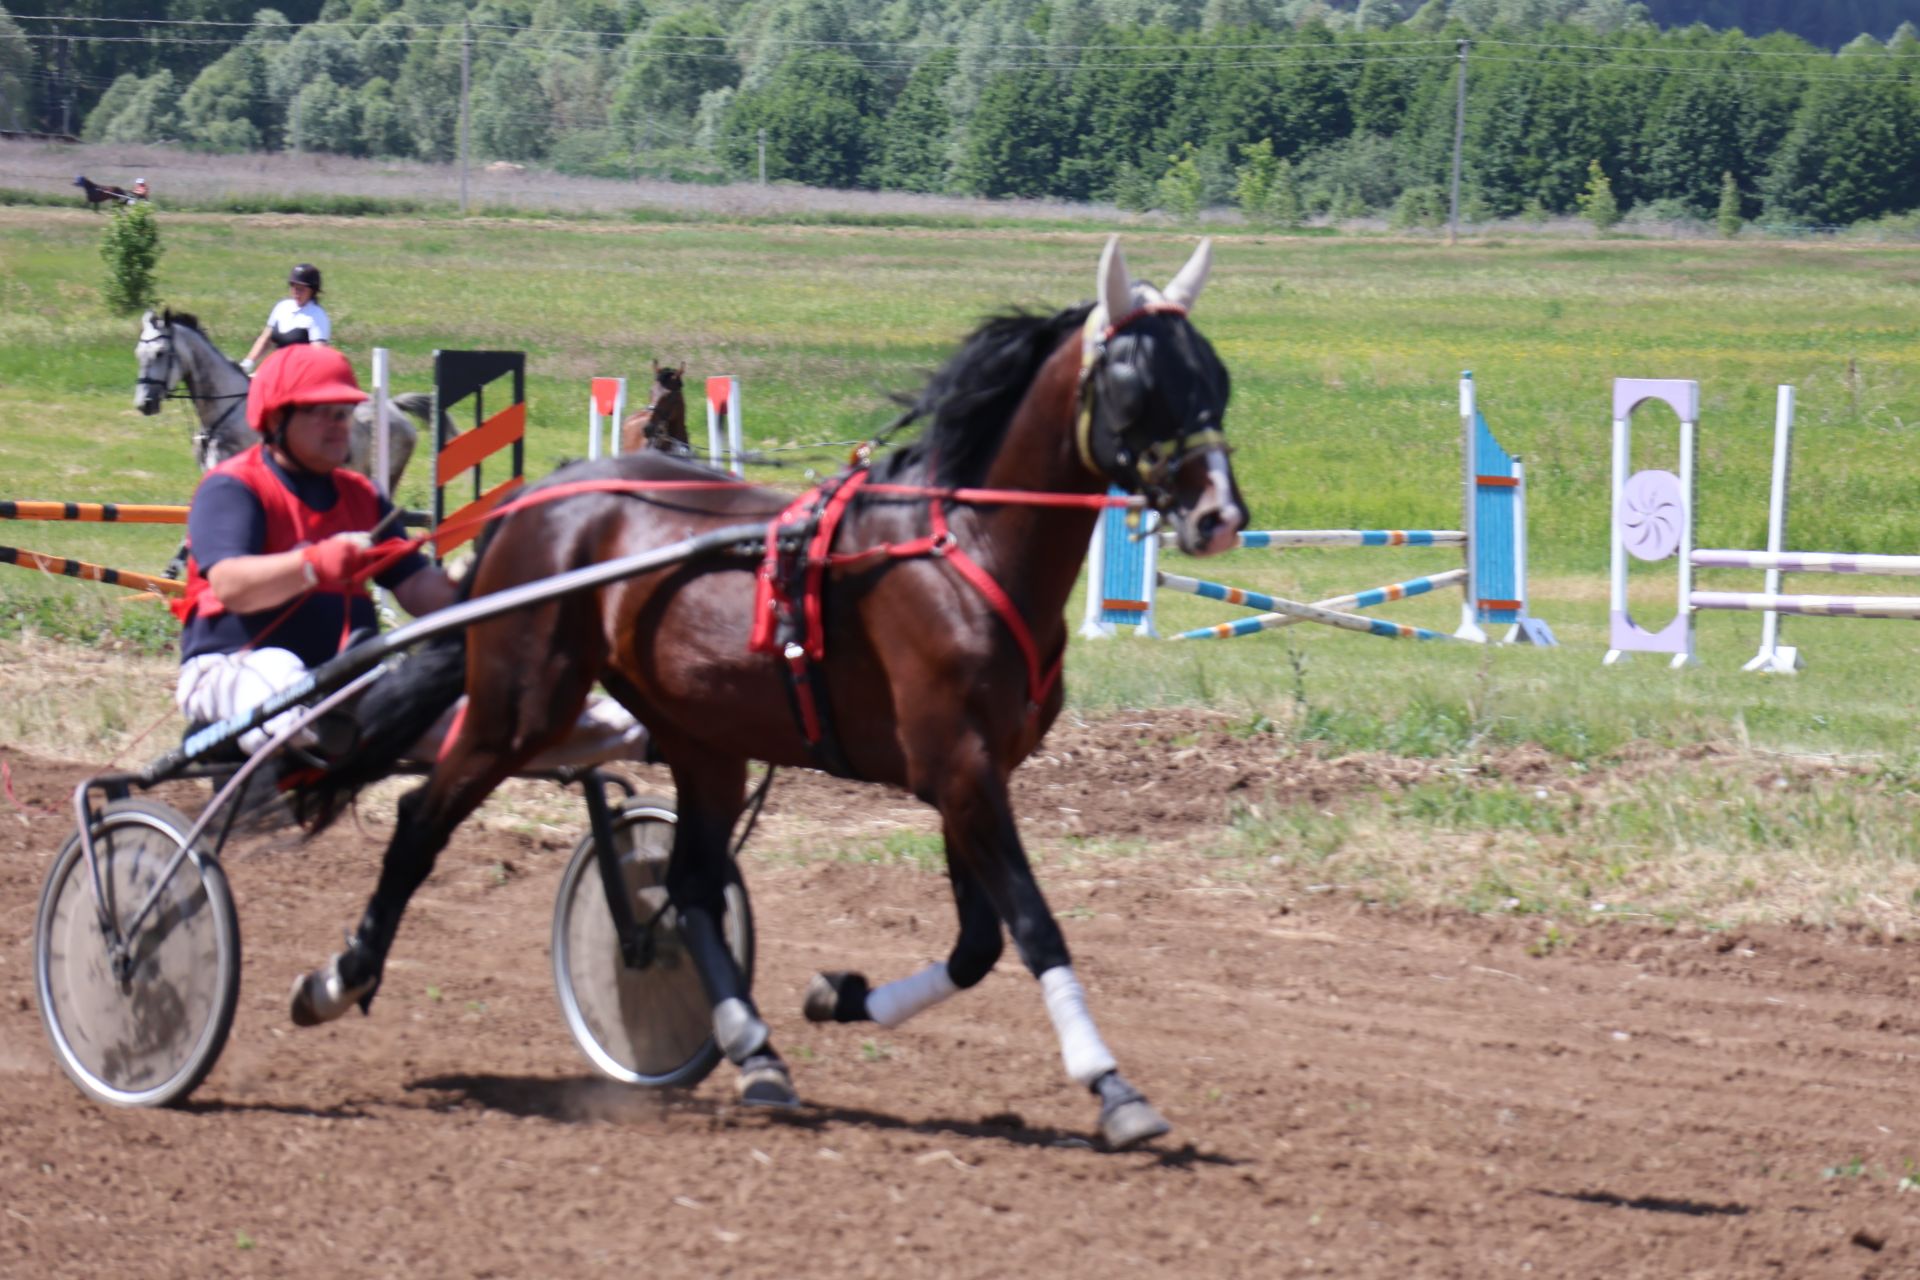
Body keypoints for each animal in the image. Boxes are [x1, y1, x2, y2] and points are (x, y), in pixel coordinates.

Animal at [286, 239, 1244, 1151]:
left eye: (1214, 376)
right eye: (1137, 385)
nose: (1220, 516)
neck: (962, 548)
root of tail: (540, 495)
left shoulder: (974, 776)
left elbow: (977, 943)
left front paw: (840, 995)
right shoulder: (962, 771)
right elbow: (1035, 925)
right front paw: (1112, 1086)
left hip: (704, 739)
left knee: (690, 885)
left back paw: (753, 1048)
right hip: (518, 709)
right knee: (421, 820)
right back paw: (339, 977)